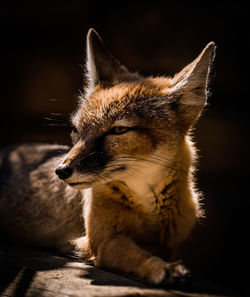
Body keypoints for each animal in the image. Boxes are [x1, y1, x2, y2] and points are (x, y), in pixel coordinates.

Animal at [0, 28, 215, 286]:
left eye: (118, 130)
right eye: (77, 130)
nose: (61, 171)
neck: (149, 206)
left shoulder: (170, 242)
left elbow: (159, 248)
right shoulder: (104, 240)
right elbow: (138, 254)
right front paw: (162, 268)